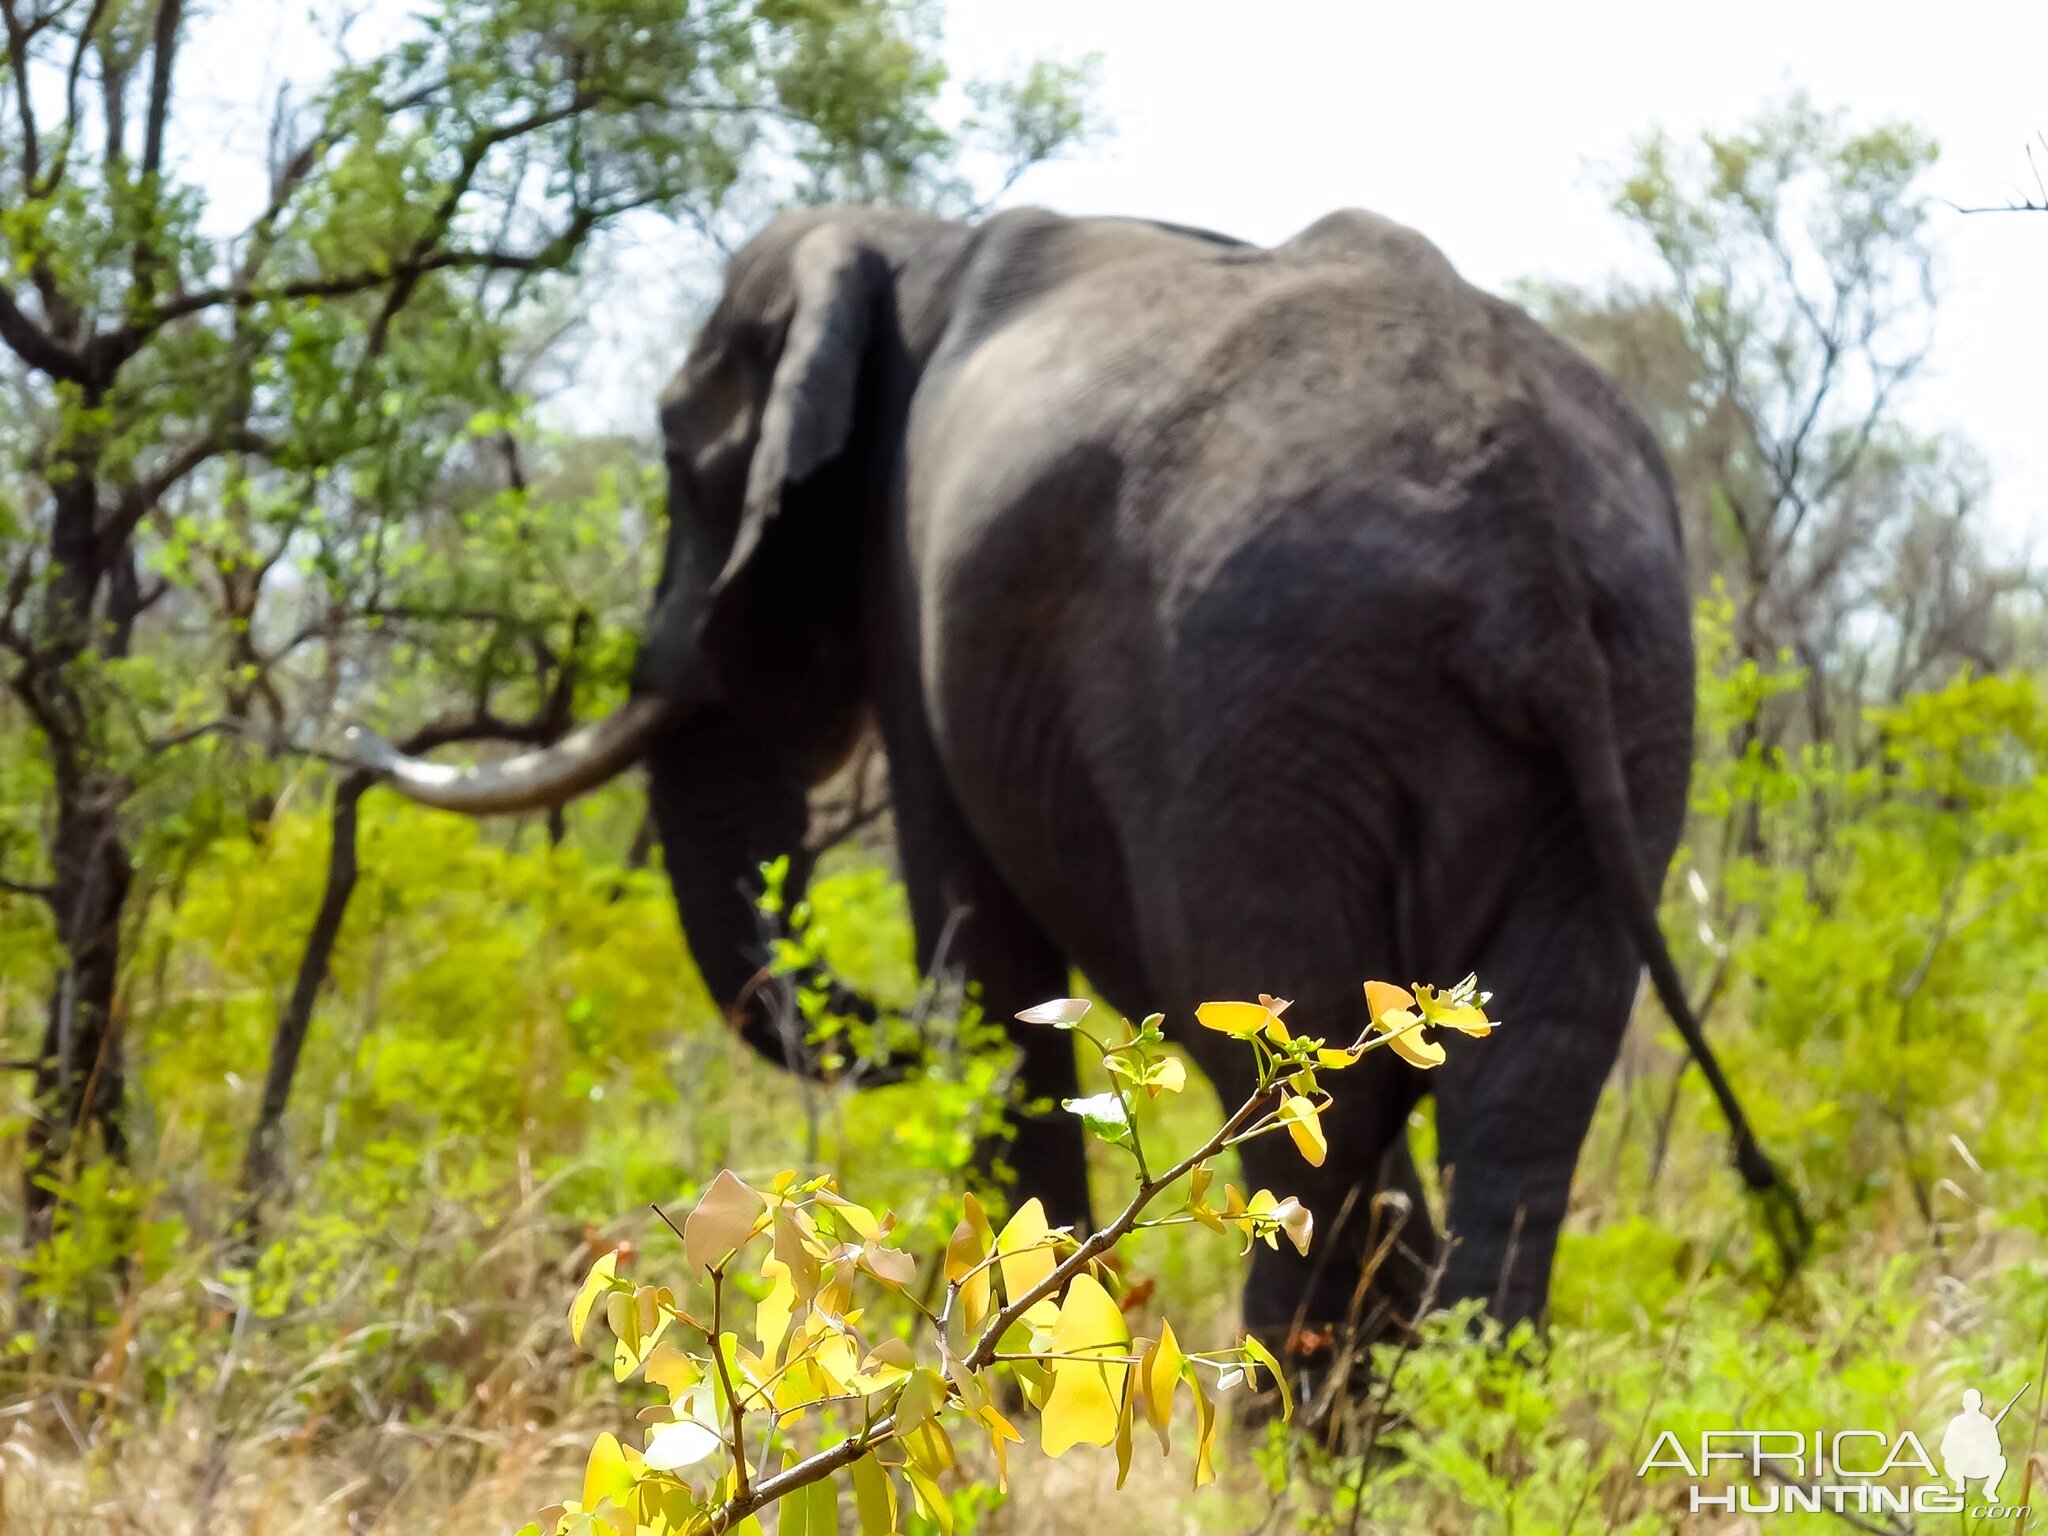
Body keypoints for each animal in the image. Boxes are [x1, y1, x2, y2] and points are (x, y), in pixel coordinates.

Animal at [356, 201, 1810, 1335]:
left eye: (679, 456)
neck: (902, 244)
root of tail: (1529, 544)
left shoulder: (910, 587)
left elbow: (985, 971)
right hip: (1625, 698)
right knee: (1525, 1085)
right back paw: (1445, 1443)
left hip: (1258, 707)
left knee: (1290, 1051)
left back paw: (1283, 1454)